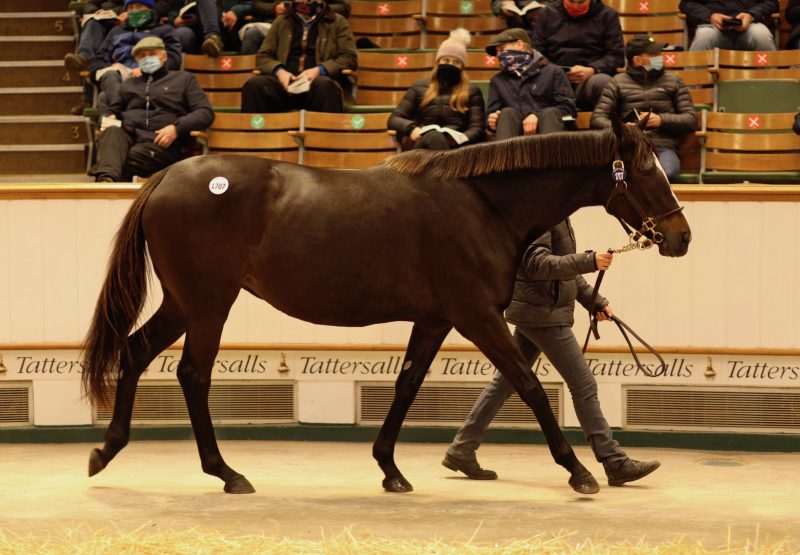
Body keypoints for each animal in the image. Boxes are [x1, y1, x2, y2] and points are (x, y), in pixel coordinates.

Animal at [84, 117, 692, 496]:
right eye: (646, 171)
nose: (682, 237)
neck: (483, 204)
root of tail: (166, 175)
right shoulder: (476, 315)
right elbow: (529, 385)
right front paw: (578, 472)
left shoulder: (435, 318)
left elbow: (407, 385)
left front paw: (390, 469)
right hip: (209, 302)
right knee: (192, 374)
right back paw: (226, 472)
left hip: (184, 302)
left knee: (135, 352)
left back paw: (107, 450)